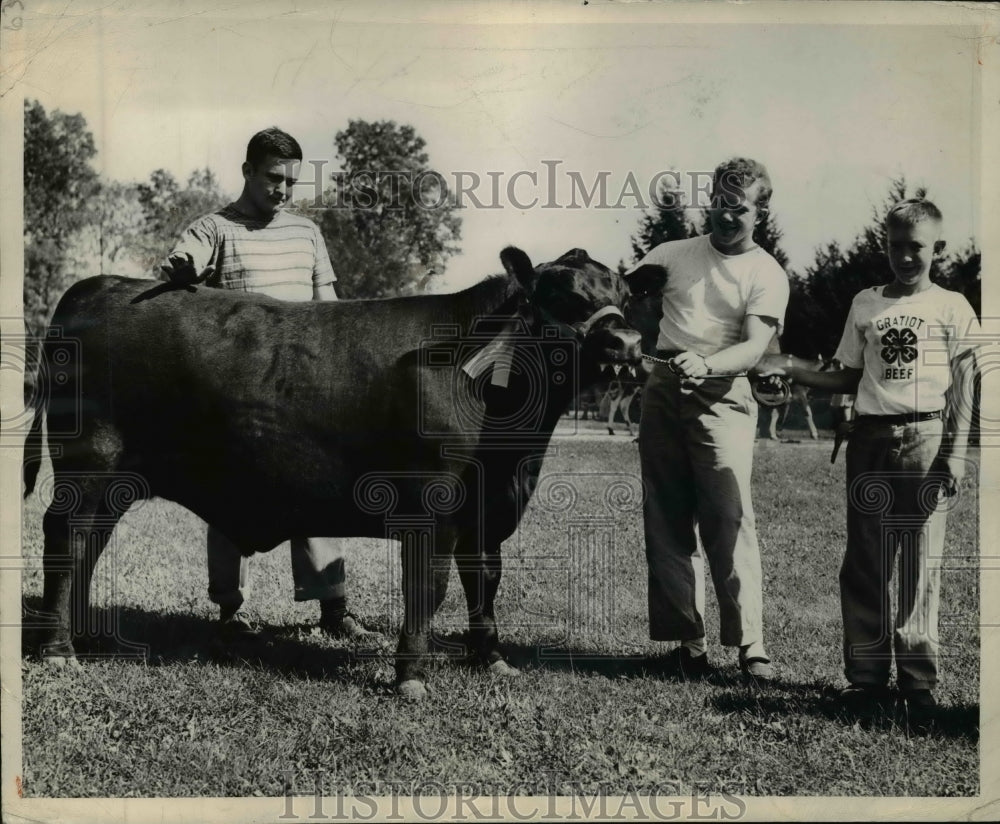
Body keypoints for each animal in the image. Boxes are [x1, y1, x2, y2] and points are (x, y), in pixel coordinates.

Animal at [29, 246, 648, 700]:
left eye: (622, 295)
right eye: (563, 295)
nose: (628, 342)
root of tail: (97, 286)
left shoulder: (488, 505)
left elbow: (484, 579)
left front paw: (491, 658)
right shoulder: (433, 503)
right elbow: (431, 584)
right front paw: (411, 676)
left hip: (115, 483)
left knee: (88, 546)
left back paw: (87, 638)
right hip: (87, 465)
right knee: (64, 540)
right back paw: (59, 652)